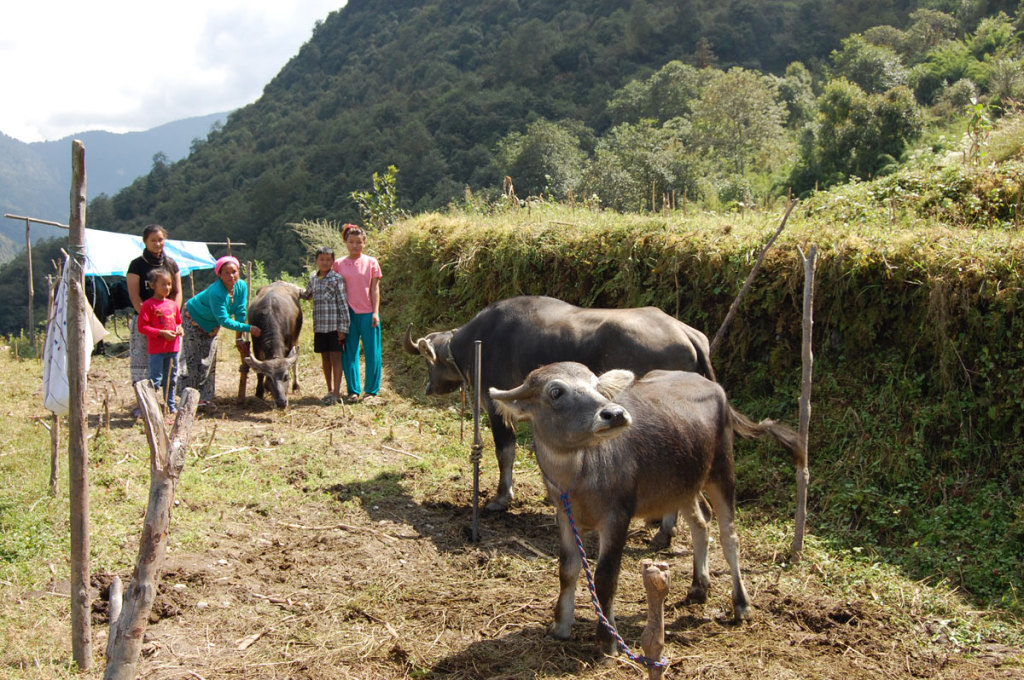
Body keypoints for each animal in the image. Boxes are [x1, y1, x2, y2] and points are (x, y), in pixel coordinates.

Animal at [403, 292, 716, 516]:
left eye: (428, 362)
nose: (428, 387)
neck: (478, 342)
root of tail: (686, 333)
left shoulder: (497, 408)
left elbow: (505, 452)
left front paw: (501, 497)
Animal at [491, 364, 802, 655]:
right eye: (556, 392)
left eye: (597, 386)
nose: (615, 414)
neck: (580, 472)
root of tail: (715, 388)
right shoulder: (565, 517)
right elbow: (567, 569)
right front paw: (561, 625)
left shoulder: (617, 517)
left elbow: (605, 577)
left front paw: (607, 640)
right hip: (682, 481)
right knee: (701, 522)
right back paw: (698, 586)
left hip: (722, 469)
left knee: (729, 537)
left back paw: (742, 605)